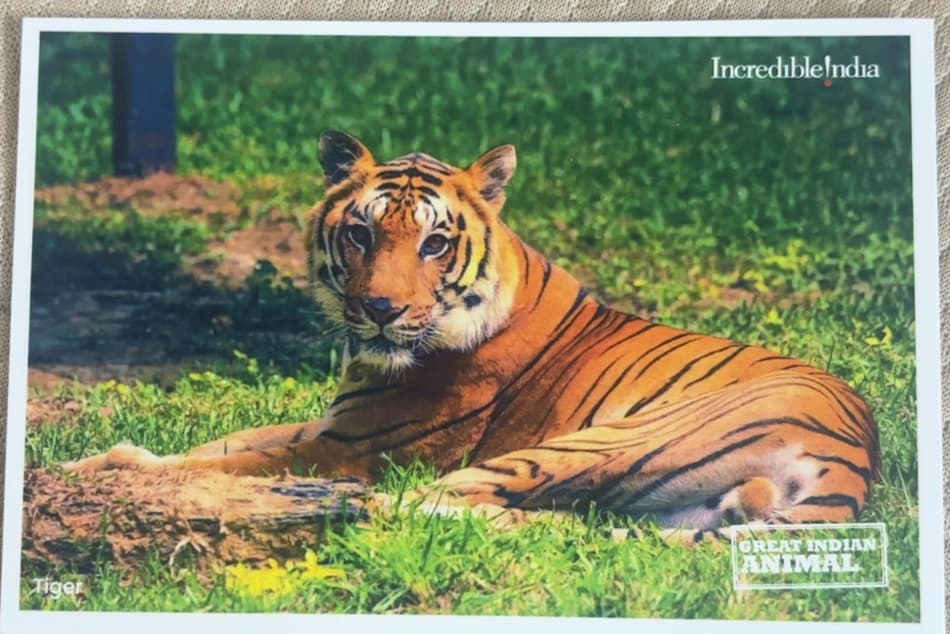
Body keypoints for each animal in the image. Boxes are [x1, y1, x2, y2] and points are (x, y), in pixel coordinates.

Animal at [67, 130, 879, 531]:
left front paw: (109, 472)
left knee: (419, 502)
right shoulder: (335, 423)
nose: (380, 310)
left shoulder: (353, 444)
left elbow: (226, 462)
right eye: (360, 234)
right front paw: (102, 461)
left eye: (433, 243)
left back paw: (318, 503)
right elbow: (222, 444)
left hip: (600, 440)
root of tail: (854, 461)